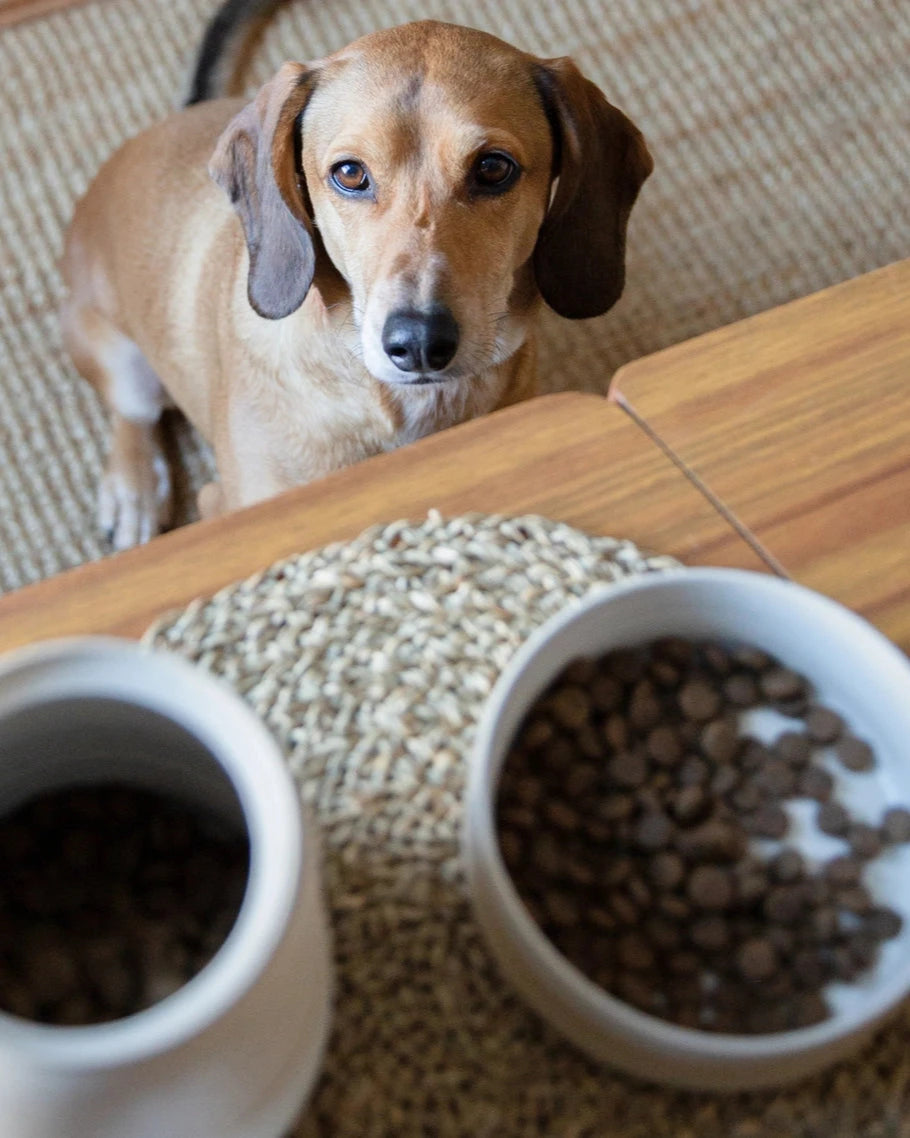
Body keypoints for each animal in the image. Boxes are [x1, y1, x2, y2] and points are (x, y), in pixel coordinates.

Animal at [60, 5, 650, 546]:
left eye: (493, 167)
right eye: (349, 173)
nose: (419, 344)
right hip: (115, 354)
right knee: (133, 417)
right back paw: (133, 493)